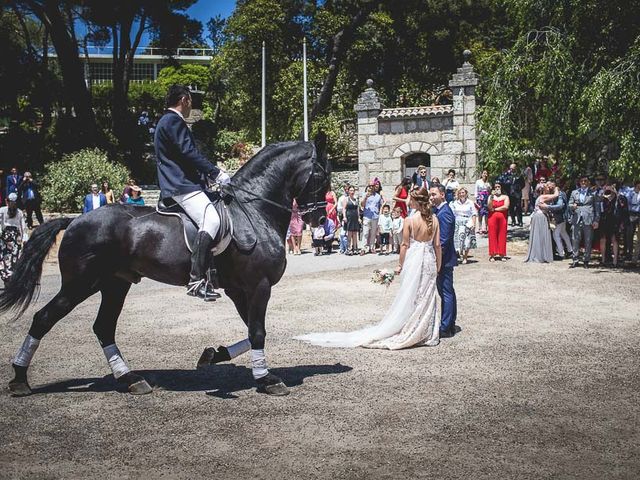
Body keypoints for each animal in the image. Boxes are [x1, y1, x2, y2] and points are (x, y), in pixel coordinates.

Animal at [1, 139, 330, 398]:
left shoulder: (240, 289)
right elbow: (258, 331)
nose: (318, 220)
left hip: (114, 284)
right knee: (44, 318)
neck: (253, 210)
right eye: (322, 175)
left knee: (103, 327)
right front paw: (267, 380)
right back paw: (19, 380)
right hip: (80, 284)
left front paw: (214, 355)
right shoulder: (257, 285)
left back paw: (131, 380)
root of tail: (74, 220)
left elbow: (251, 331)